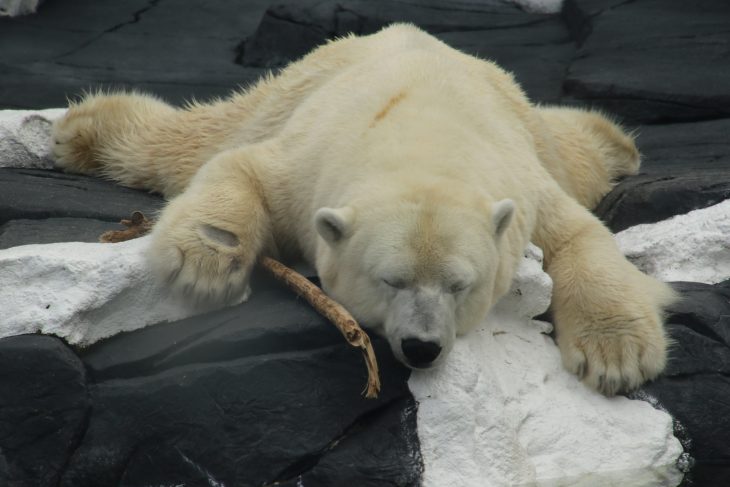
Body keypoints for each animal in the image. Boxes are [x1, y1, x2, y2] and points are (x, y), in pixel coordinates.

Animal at [51, 23, 672, 396]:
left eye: (459, 285)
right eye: (390, 280)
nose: (422, 347)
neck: (423, 140)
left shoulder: (523, 186)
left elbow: (579, 234)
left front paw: (615, 357)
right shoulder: (306, 163)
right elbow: (241, 168)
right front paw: (202, 268)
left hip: (529, 126)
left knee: (577, 155)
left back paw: (614, 140)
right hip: (288, 92)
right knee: (190, 143)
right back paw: (82, 128)